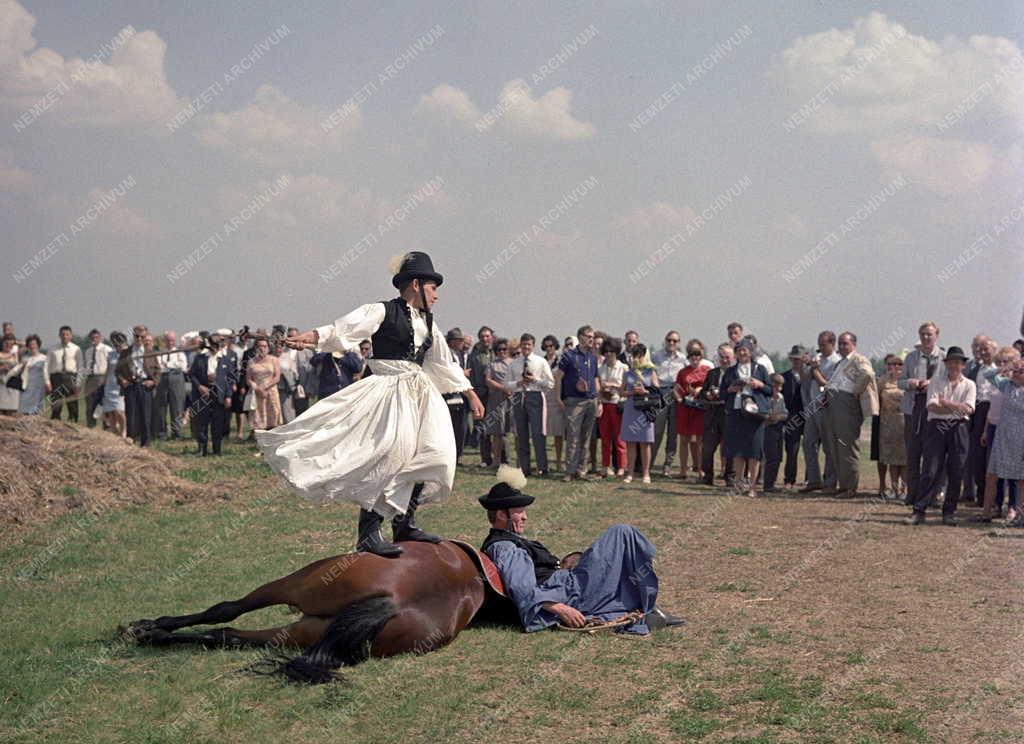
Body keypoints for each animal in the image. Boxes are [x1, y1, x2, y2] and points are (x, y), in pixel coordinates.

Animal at [121, 540, 512, 683]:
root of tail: (393, 600)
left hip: (296, 584)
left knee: (227, 613)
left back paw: (147, 629)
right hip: (302, 630)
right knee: (226, 634)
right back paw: (153, 634)